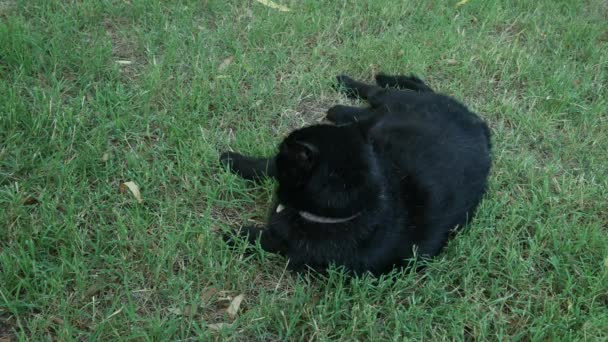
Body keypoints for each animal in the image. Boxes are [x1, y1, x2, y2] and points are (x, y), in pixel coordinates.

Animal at [221, 74, 492, 276]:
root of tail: (479, 122)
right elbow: (265, 166)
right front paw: (234, 161)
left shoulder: (289, 248)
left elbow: (264, 239)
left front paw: (232, 234)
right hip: (391, 113)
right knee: (387, 96)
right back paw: (344, 97)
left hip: (393, 107)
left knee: (377, 95)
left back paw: (342, 99)